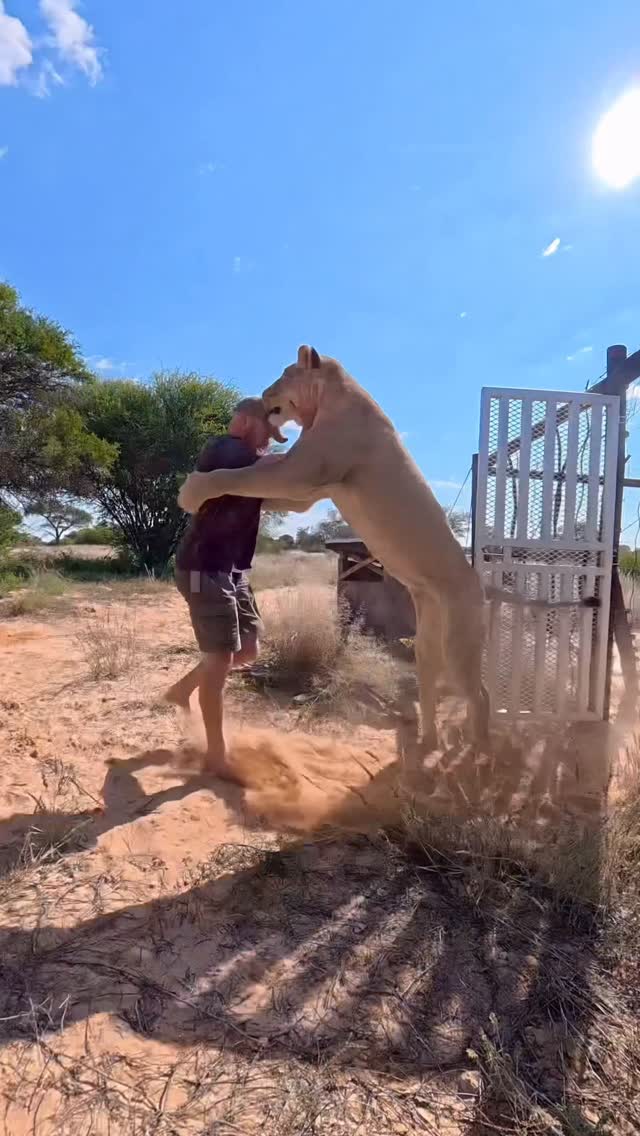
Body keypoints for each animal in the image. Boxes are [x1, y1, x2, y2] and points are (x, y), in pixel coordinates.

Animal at [179, 346, 597, 752]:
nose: (265, 394)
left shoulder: (303, 471)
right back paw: (427, 739)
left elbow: (240, 475)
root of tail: (480, 583)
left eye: (283, 374)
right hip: (428, 638)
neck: (333, 395)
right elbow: (257, 487)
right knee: (430, 680)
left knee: (480, 695)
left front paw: (191, 489)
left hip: (460, 641)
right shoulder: (309, 486)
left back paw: (479, 753)